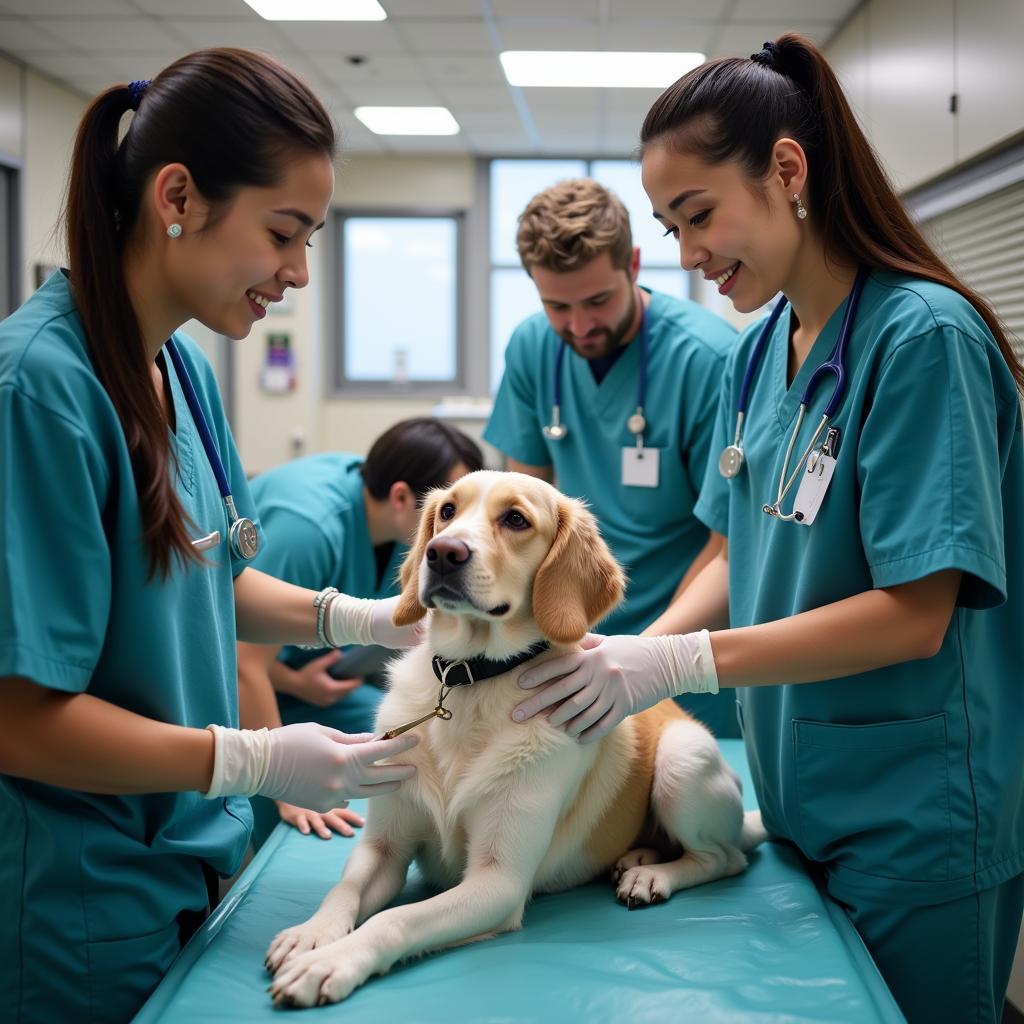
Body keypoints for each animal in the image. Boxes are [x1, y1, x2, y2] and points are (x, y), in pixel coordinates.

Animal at [268, 471, 765, 1007]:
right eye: (447, 511)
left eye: (516, 519)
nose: (441, 552)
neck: (470, 681)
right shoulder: (383, 848)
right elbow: (343, 890)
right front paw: (311, 935)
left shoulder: (496, 882)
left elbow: (394, 920)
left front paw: (329, 962)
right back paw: (640, 856)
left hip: (682, 761)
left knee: (726, 858)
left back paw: (653, 874)